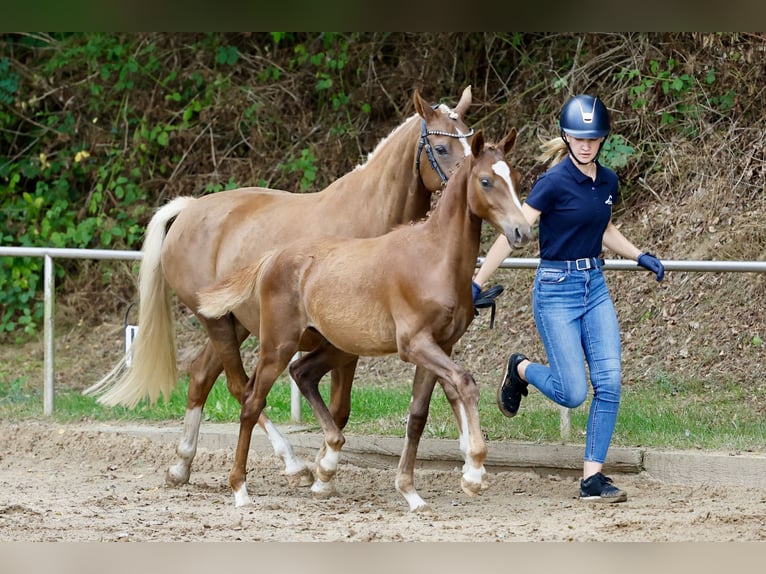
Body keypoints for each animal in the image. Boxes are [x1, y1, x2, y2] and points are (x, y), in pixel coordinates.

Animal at [85, 86, 475, 490]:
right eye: (442, 148)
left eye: (472, 140)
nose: (468, 187)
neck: (371, 220)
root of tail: (189, 210)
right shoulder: (345, 341)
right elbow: (338, 407)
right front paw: (323, 469)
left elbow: (341, 408)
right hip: (221, 325)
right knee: (241, 387)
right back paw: (291, 464)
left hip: (235, 322)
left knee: (202, 377)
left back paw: (182, 464)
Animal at [197, 129, 535, 511]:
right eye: (485, 181)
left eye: (515, 178)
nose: (522, 231)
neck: (434, 258)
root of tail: (272, 257)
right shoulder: (415, 344)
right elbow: (465, 383)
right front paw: (474, 469)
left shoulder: (440, 346)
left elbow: (419, 415)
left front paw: (412, 491)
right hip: (278, 345)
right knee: (252, 400)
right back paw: (243, 488)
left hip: (335, 346)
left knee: (302, 373)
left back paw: (325, 465)